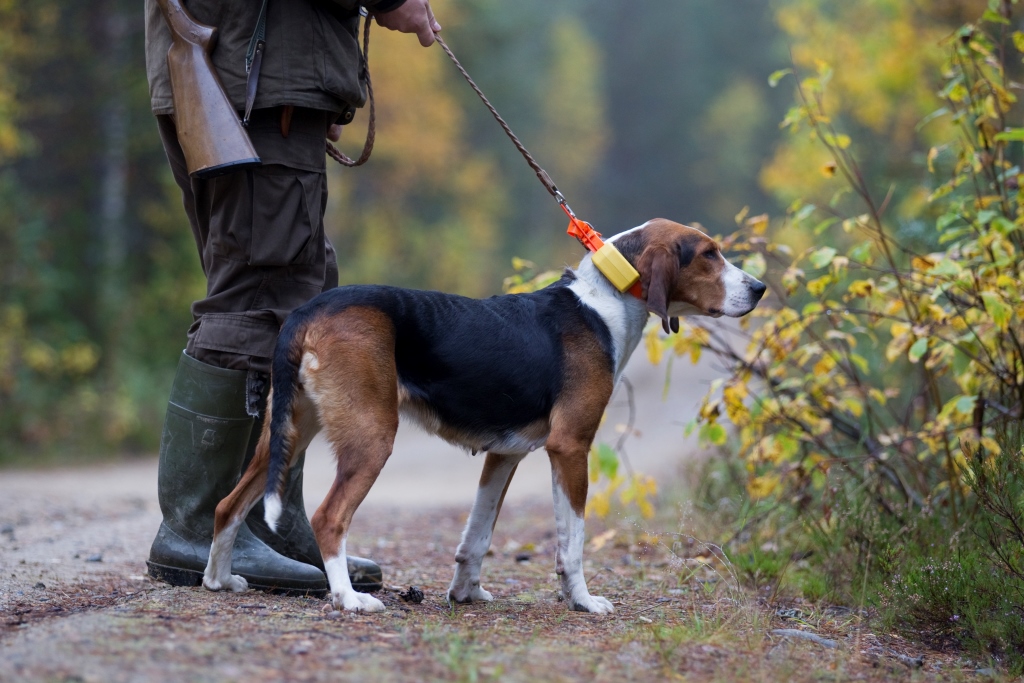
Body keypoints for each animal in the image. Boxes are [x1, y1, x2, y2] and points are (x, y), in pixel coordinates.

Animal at [199, 219, 765, 614]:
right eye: (709, 255)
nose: (759, 288)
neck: (602, 302)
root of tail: (307, 310)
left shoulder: (503, 454)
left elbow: (477, 535)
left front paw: (465, 594)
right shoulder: (570, 447)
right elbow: (573, 542)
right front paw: (583, 602)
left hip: (288, 431)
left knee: (228, 505)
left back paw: (218, 580)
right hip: (371, 435)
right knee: (328, 517)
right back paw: (349, 599)